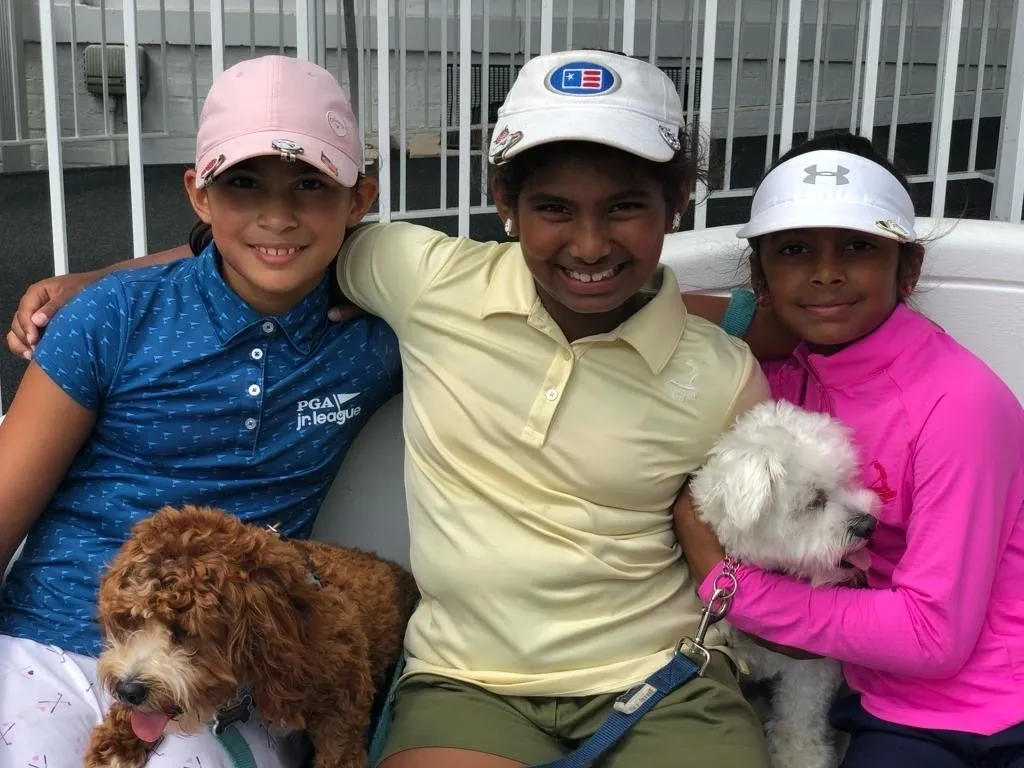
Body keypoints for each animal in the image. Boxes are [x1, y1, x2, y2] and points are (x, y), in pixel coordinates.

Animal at [84, 505, 419, 768]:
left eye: (184, 631)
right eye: (131, 619)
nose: (127, 690)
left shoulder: (342, 709)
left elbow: (340, 752)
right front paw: (117, 744)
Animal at [688, 399, 880, 765]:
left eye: (847, 480)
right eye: (815, 500)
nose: (868, 524)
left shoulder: (810, 668)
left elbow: (800, 714)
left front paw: (801, 756)